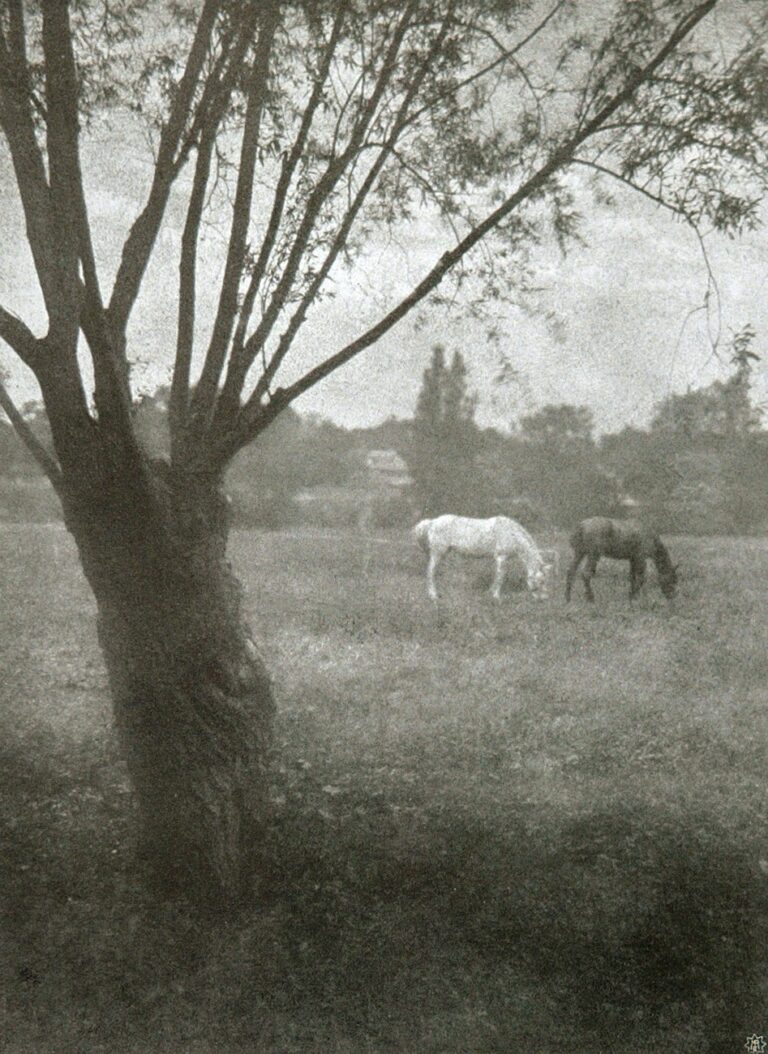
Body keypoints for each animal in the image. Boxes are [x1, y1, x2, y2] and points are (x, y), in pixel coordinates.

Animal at [413, 514, 552, 602]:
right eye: (541, 581)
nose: (544, 599)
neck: (511, 534)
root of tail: (432, 522)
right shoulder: (501, 557)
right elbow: (500, 576)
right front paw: (495, 596)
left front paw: (490, 592)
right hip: (438, 553)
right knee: (430, 572)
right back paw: (433, 596)